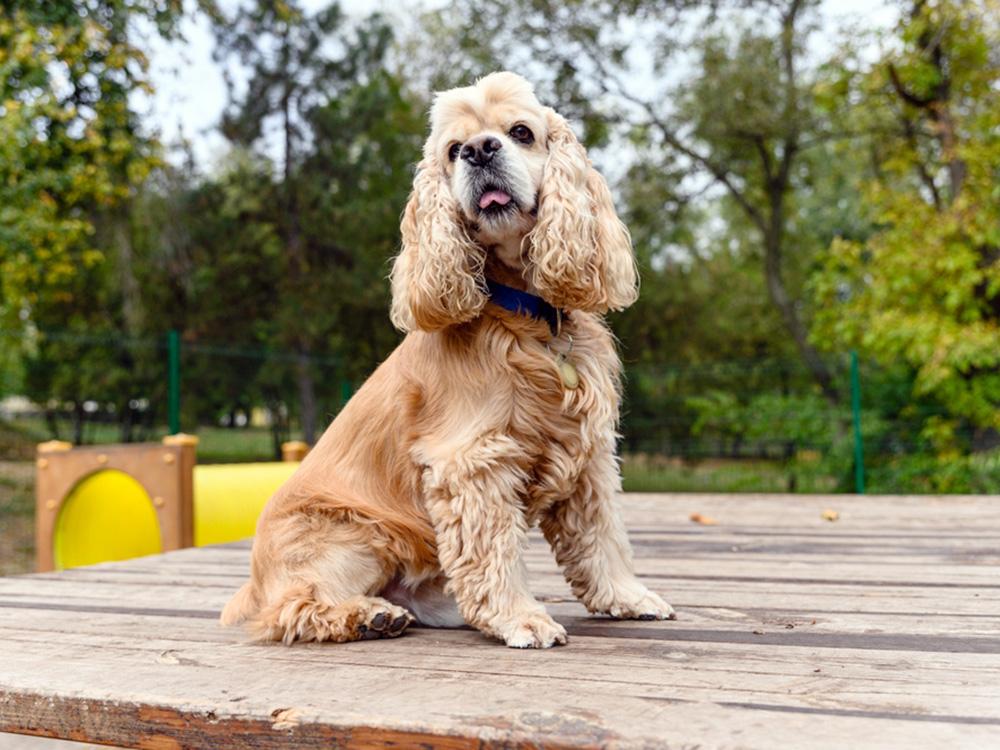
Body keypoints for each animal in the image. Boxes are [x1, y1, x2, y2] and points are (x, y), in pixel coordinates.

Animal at [223, 72, 676, 652]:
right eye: (454, 150)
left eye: (521, 132)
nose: (480, 151)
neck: (531, 318)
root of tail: (255, 580)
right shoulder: (474, 460)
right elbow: (494, 551)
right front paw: (520, 618)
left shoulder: (589, 455)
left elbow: (602, 537)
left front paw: (627, 595)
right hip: (352, 536)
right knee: (292, 608)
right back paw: (366, 616)